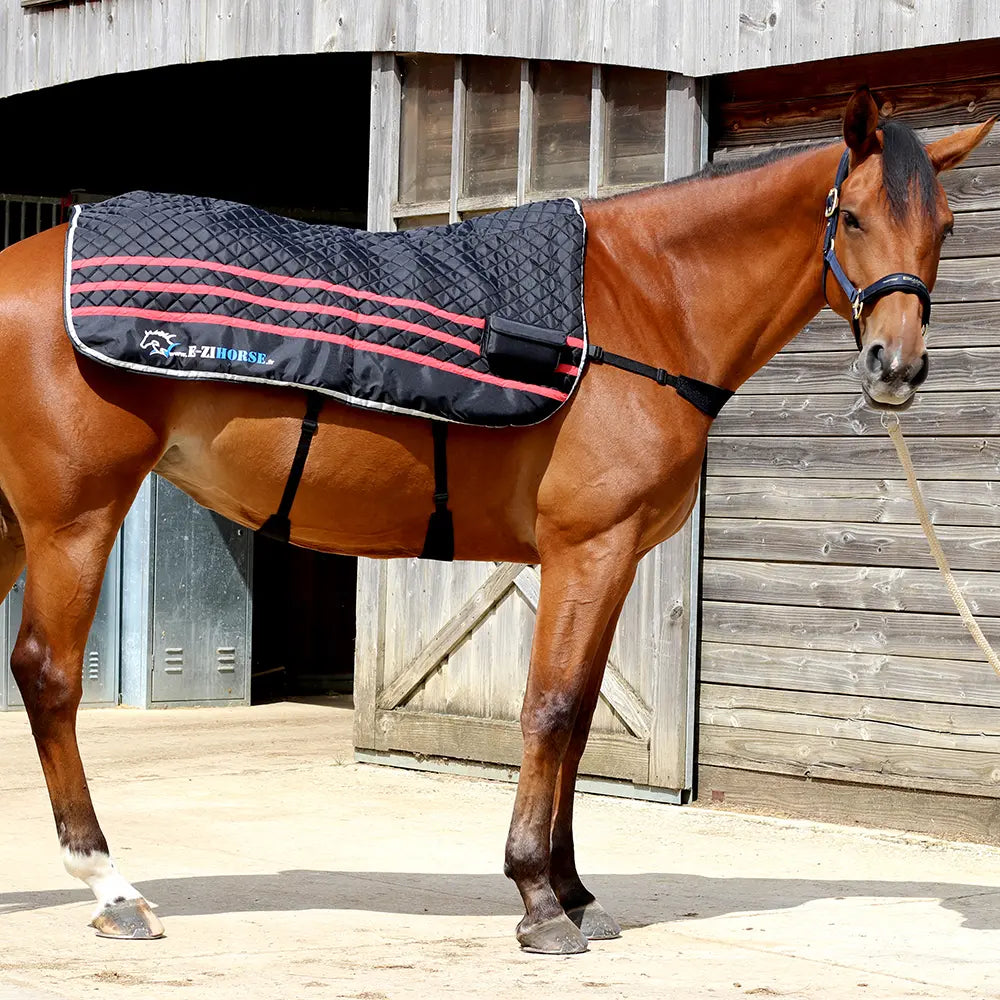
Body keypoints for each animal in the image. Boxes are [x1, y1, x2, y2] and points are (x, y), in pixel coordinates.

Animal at [0, 87, 991, 954]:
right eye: (852, 218)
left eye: (945, 226)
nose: (896, 367)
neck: (647, 303)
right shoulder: (586, 550)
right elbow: (548, 711)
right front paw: (539, 903)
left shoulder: (614, 560)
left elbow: (582, 718)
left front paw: (575, 891)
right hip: (72, 519)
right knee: (48, 676)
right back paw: (111, 888)